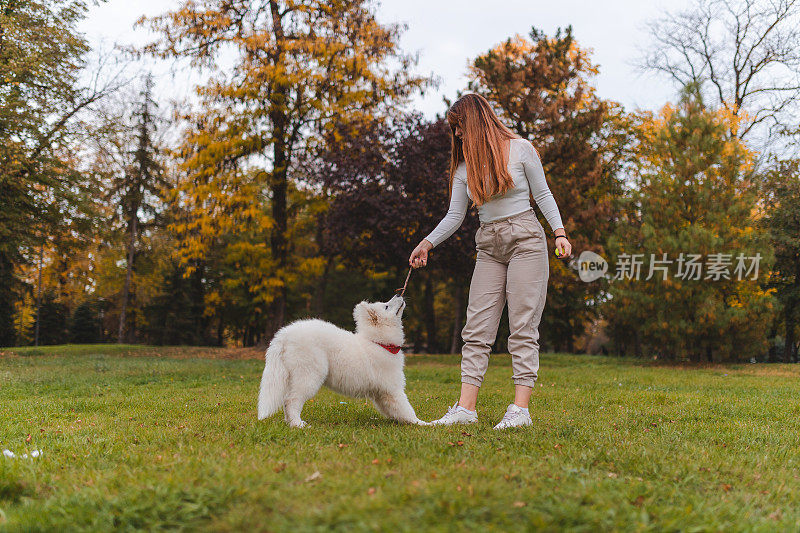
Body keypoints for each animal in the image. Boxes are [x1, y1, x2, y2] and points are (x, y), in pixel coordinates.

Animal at [260, 294, 428, 426]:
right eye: (386, 306)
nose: (399, 294)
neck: (378, 342)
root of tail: (284, 334)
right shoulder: (393, 389)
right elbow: (406, 409)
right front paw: (423, 424)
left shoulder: (381, 393)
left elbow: (394, 411)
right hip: (309, 374)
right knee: (291, 400)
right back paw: (297, 424)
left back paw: (289, 422)